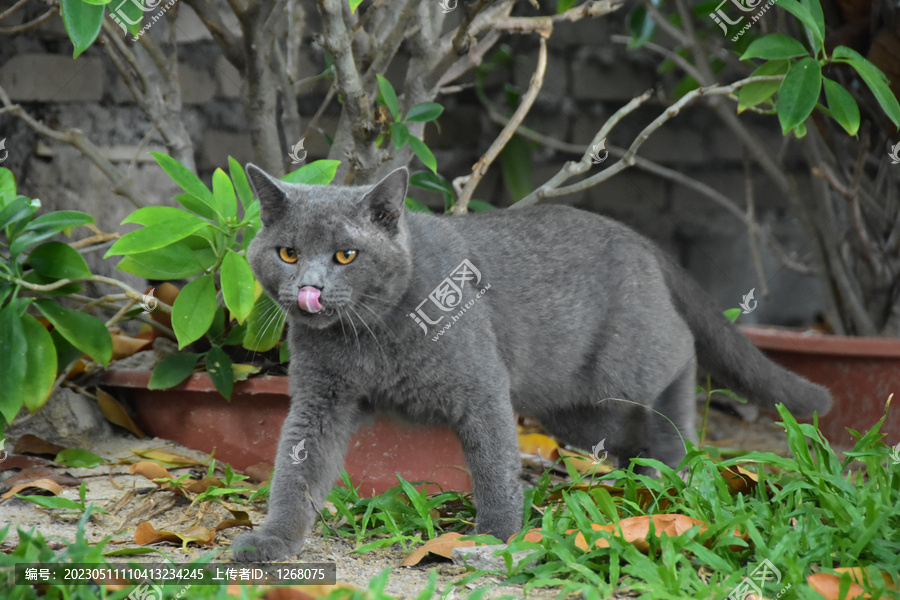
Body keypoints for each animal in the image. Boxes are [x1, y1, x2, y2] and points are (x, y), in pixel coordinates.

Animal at [230, 162, 828, 560]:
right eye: (288, 253)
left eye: (346, 255)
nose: (309, 289)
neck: (370, 336)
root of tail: (638, 237)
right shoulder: (320, 398)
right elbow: (298, 466)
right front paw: (274, 541)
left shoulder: (481, 386)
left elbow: (494, 464)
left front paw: (495, 535)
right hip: (580, 412)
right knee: (626, 427)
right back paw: (644, 479)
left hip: (624, 364)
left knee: (680, 351)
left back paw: (670, 461)